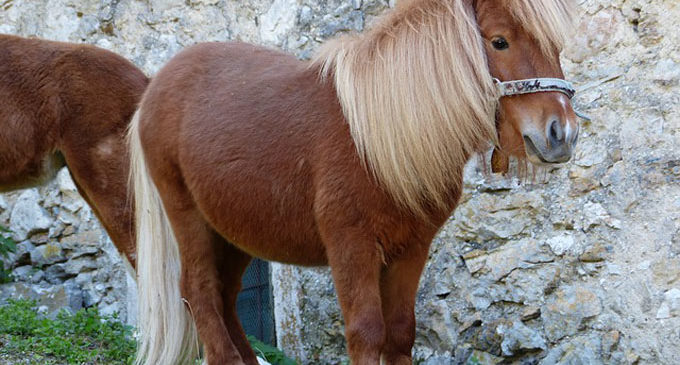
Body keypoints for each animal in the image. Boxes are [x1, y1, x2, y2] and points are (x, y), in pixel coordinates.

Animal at [131, 1, 580, 362]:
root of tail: (155, 87)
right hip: (188, 217)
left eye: (556, 46)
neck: (379, 139)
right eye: (499, 42)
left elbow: (400, 333)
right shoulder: (352, 247)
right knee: (200, 293)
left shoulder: (411, 249)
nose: (562, 134)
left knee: (225, 297)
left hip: (234, 230)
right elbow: (366, 334)